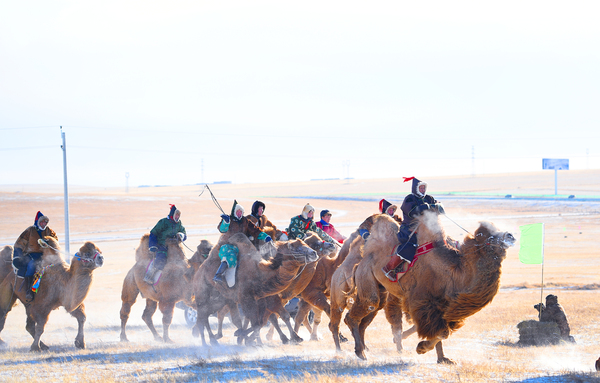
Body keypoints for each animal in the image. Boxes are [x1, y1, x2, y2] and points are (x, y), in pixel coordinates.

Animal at [342, 212, 516, 364]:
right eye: (488, 235)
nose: (511, 236)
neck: (454, 273)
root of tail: (362, 261)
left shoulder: (444, 308)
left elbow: (442, 331)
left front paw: (442, 358)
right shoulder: (423, 302)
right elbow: (442, 332)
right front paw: (422, 348)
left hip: (380, 287)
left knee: (369, 314)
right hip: (367, 278)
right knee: (363, 309)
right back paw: (361, 352)